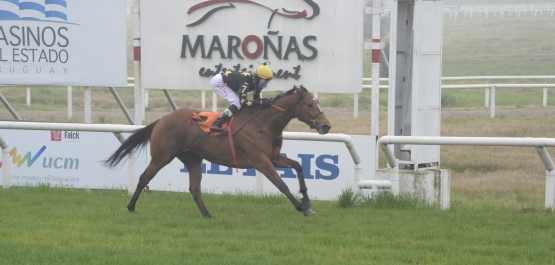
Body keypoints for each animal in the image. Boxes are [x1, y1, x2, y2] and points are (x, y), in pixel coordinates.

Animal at [102, 85, 332, 218]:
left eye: (317, 102)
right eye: (310, 104)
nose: (326, 126)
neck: (264, 123)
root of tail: (163, 119)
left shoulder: (274, 157)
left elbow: (298, 166)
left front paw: (307, 201)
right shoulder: (261, 161)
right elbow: (281, 184)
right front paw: (302, 208)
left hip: (192, 159)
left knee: (194, 188)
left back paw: (207, 215)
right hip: (162, 156)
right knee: (143, 178)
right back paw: (131, 207)